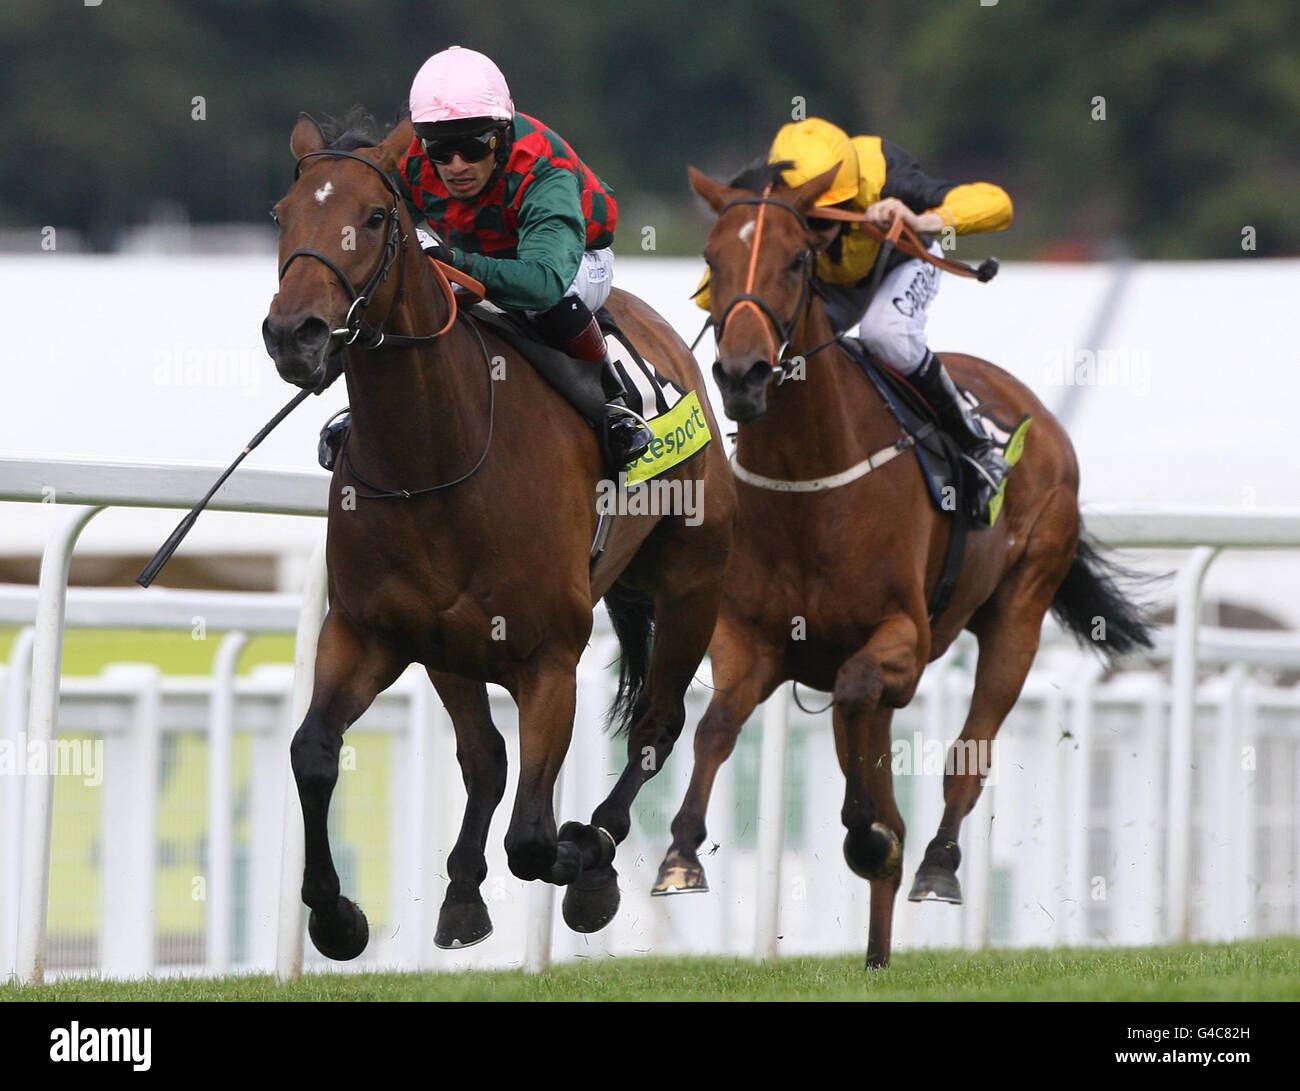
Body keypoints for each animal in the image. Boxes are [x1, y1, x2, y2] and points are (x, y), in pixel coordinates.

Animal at [258, 115, 738, 962]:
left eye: (375, 218)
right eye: (283, 214)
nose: (295, 334)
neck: (436, 455)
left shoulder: (549, 657)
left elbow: (535, 838)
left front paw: (587, 863)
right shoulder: (372, 631)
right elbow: (314, 752)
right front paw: (338, 916)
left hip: (692, 583)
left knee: (657, 724)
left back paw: (599, 846)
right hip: (452, 648)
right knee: (484, 758)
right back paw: (459, 894)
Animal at [655, 159, 1154, 962]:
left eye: (796, 260)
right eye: (711, 259)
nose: (742, 373)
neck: (809, 483)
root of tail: (1033, 409)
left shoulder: (906, 645)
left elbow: (864, 703)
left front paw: (870, 836)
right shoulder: (752, 642)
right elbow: (716, 727)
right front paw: (681, 854)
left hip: (1017, 615)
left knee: (966, 755)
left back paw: (935, 866)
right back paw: (877, 944)